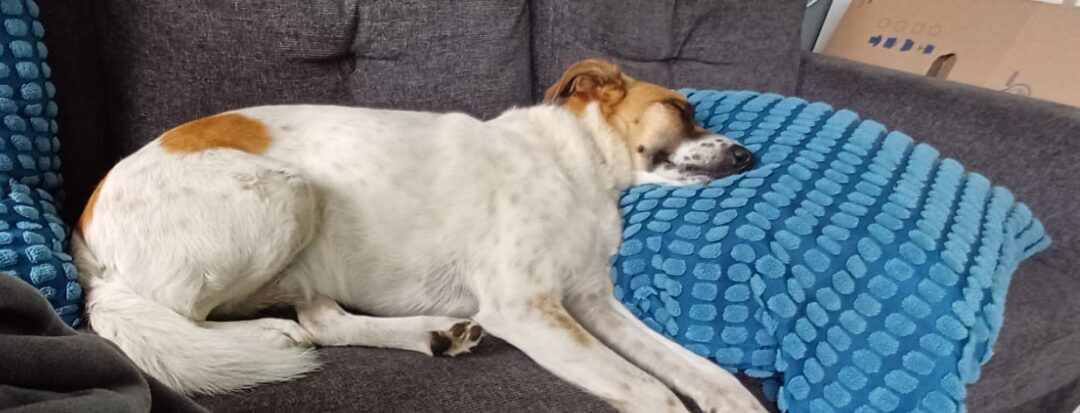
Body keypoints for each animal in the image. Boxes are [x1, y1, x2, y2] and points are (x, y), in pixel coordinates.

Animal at [72, 58, 766, 413]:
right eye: (680, 109)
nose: (749, 157)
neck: (573, 166)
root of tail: (85, 235)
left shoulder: (591, 303)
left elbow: (703, 373)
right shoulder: (527, 309)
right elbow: (651, 388)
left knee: (323, 319)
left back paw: (432, 333)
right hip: (283, 196)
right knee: (184, 320)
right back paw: (269, 334)